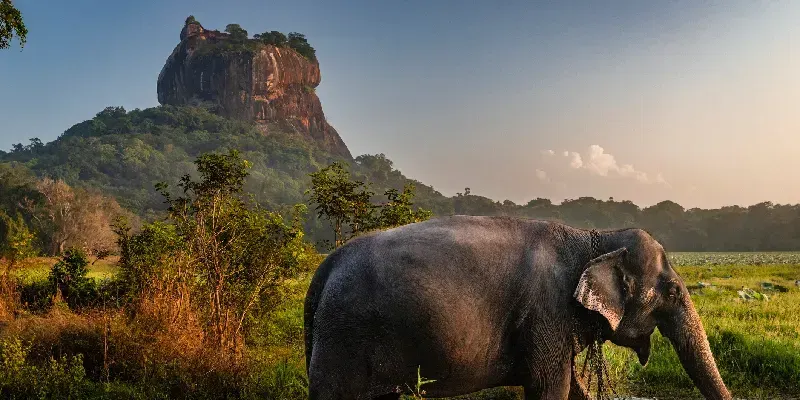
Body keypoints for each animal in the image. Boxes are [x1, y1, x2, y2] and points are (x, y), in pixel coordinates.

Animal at [304, 215, 731, 399]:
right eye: (673, 292)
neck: (594, 237)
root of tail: (325, 268)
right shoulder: (547, 312)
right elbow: (549, 387)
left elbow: (571, 386)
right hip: (344, 340)